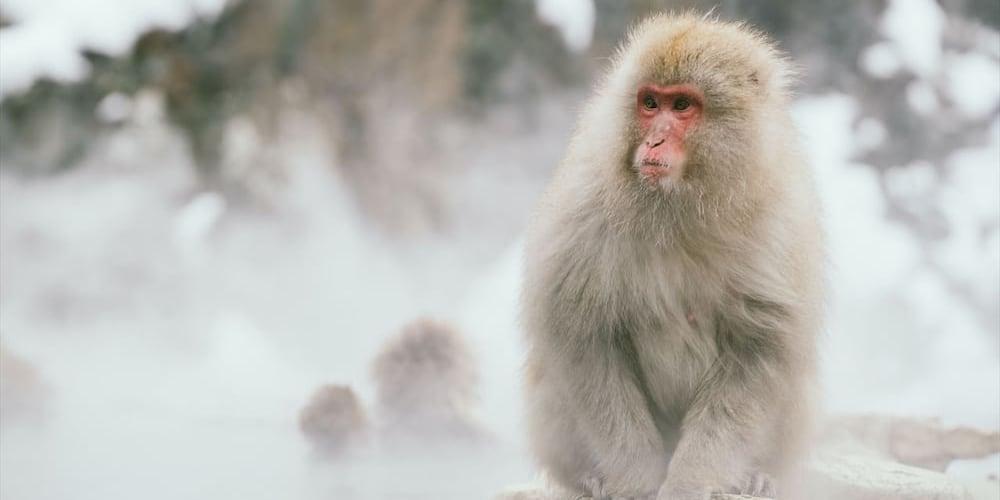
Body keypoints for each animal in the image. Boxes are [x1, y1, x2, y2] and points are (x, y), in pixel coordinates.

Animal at [520, 12, 824, 500]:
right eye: (649, 103)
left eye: (681, 105)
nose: (655, 142)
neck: (677, 208)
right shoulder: (583, 210)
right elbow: (583, 338)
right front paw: (638, 478)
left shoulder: (779, 227)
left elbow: (760, 350)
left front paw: (691, 481)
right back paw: (587, 477)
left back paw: (757, 475)